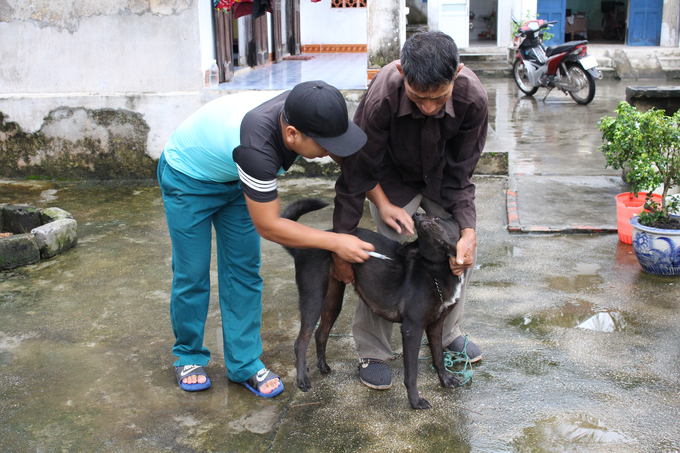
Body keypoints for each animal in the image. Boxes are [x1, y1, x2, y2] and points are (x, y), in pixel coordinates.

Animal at [278, 198, 464, 410]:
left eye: (437, 218)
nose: (416, 215)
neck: (437, 270)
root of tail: (301, 249)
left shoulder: (435, 325)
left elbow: (439, 356)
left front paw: (446, 380)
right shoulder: (412, 329)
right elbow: (412, 372)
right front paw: (415, 401)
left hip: (333, 300)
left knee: (320, 334)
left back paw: (323, 366)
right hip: (314, 298)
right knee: (301, 341)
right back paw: (302, 379)